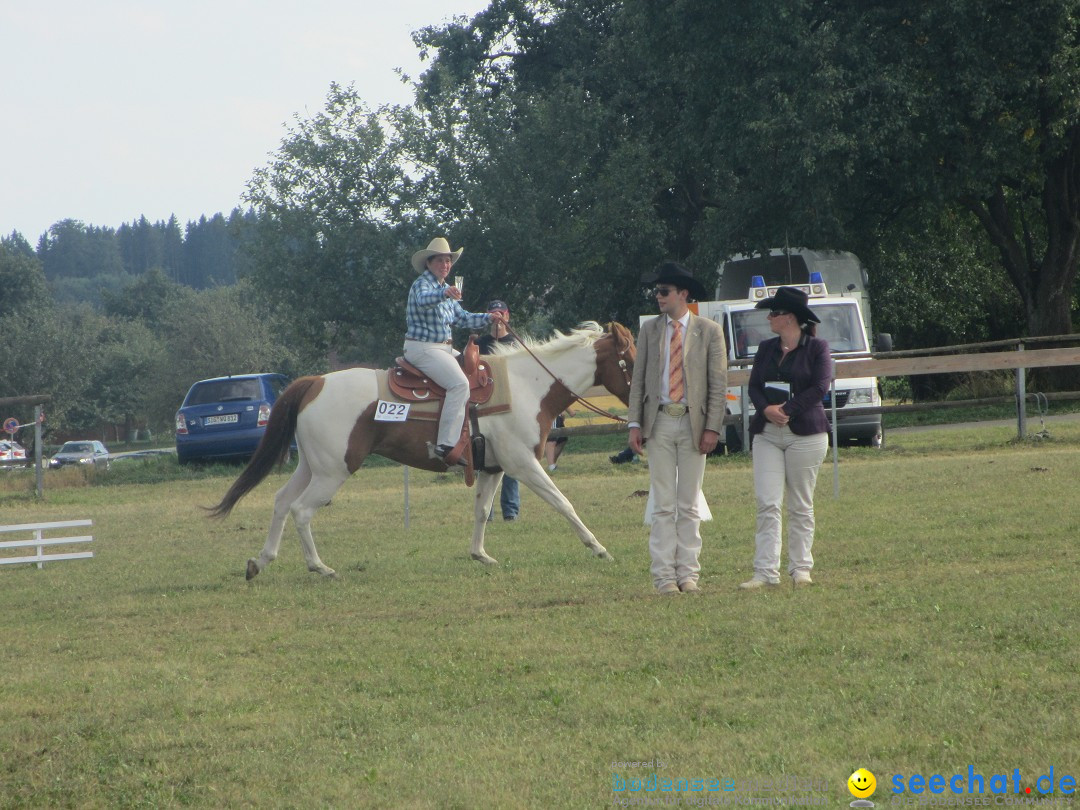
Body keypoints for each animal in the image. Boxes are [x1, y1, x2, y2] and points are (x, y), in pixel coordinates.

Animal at [206, 319, 635, 578]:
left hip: (312, 467)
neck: (528, 385)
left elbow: (482, 511)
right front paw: (598, 548)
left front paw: (480, 555)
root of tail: (315, 382)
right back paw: (319, 567)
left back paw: (261, 561)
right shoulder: (523, 464)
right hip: (333, 472)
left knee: (281, 502)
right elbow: (564, 503)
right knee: (300, 510)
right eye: (629, 359)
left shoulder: (493, 468)